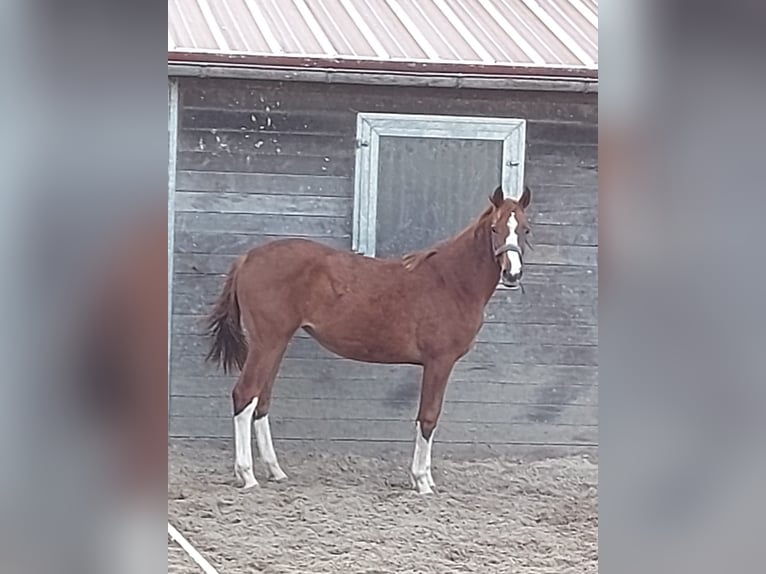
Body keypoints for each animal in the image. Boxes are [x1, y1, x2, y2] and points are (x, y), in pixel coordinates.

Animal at [207, 186, 536, 496]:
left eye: (525, 228)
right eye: (494, 228)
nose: (512, 274)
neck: (451, 281)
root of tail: (248, 257)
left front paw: (426, 478)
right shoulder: (438, 362)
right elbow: (428, 417)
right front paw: (422, 482)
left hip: (276, 343)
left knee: (261, 400)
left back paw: (276, 471)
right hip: (267, 341)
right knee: (245, 395)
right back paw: (247, 476)